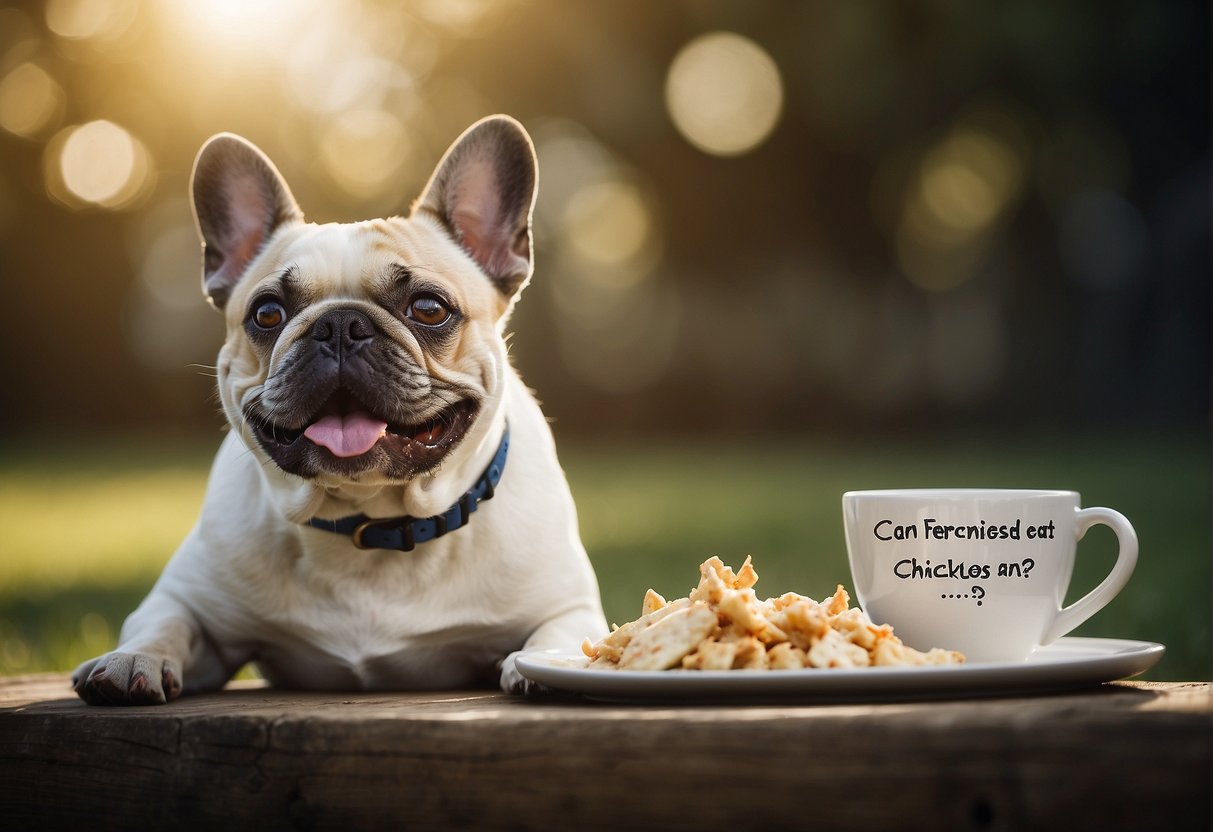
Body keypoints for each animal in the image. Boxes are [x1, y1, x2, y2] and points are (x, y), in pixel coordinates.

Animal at [68, 115, 606, 703]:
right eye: (267, 313)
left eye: (429, 308)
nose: (341, 324)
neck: (371, 524)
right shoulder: (189, 599)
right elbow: (164, 622)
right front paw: (130, 660)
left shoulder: (569, 606)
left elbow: (559, 635)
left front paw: (539, 667)